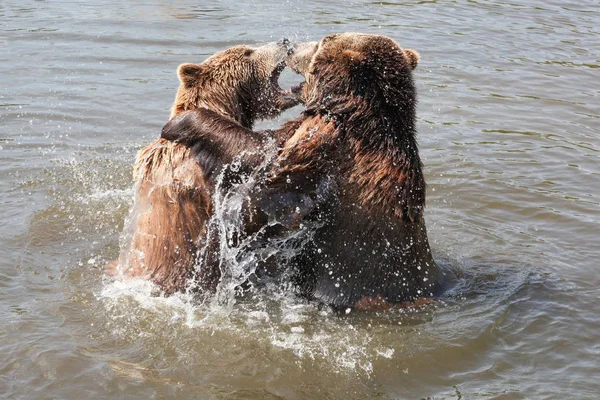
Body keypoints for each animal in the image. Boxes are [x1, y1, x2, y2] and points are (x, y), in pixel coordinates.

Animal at [162, 33, 442, 310]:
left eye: (322, 42)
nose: (291, 45)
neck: (348, 109)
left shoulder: (326, 145)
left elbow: (261, 158)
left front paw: (181, 121)